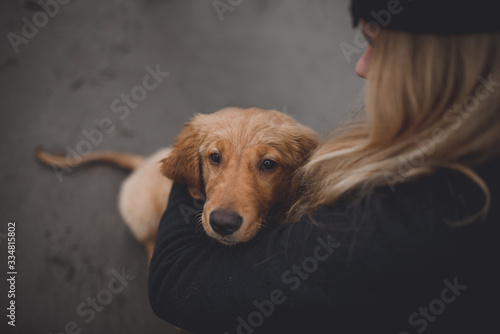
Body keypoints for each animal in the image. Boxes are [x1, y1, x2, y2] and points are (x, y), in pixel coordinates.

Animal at [36, 107, 316, 258]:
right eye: (215, 157)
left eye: (268, 164)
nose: (222, 223)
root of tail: (143, 163)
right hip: (142, 213)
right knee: (149, 238)